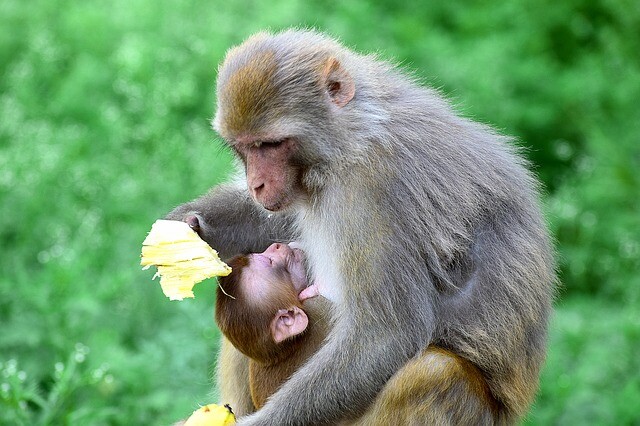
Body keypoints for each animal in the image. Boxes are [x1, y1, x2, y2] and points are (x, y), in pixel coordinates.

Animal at [215, 245, 504, 424]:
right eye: (271, 262)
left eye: (265, 255)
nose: (275, 246)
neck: (283, 349)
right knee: (438, 369)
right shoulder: (318, 311)